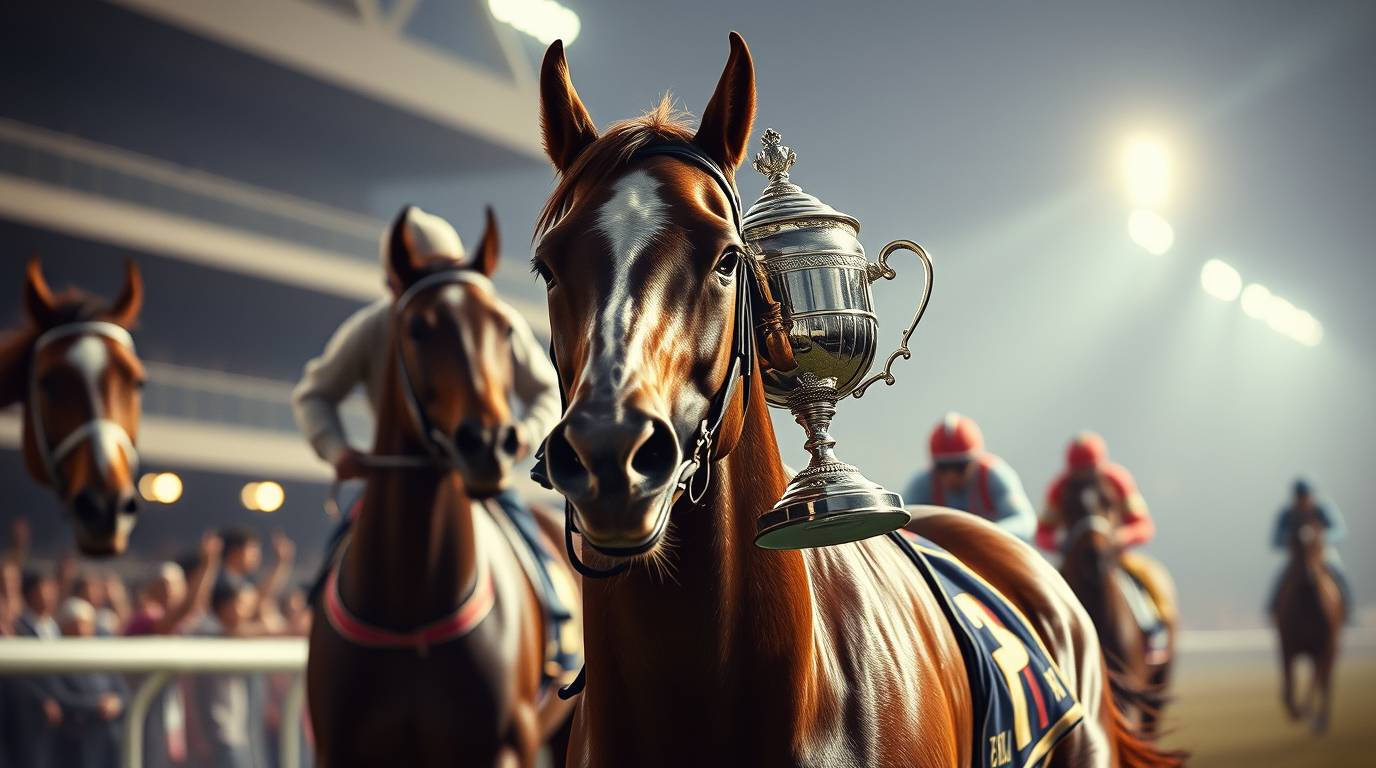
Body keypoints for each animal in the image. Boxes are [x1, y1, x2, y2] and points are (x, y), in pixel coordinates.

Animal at [306, 209, 579, 767]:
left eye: (503, 328)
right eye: (418, 328)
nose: (489, 443)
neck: (413, 614)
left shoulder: (502, 747)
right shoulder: (337, 747)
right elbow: (316, 389)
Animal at [1274, 504, 1342, 733]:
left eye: (1318, 535)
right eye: (1293, 537)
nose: (1309, 576)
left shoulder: (1324, 644)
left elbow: (1317, 679)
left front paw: (1308, 712)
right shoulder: (1287, 644)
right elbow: (1288, 687)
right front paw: (1297, 711)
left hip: (1331, 646)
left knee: (1325, 679)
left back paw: (1320, 719)